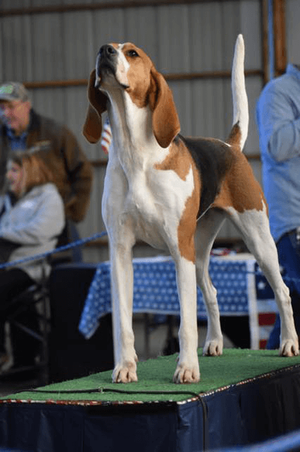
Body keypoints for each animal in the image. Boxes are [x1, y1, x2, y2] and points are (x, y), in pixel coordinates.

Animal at [82, 35, 298, 384]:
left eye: (133, 53)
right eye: (107, 47)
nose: (105, 51)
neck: (135, 154)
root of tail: (230, 147)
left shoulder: (178, 249)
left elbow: (185, 323)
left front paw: (186, 368)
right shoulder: (121, 253)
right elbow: (124, 324)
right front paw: (126, 366)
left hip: (258, 242)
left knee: (283, 291)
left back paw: (289, 343)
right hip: (198, 253)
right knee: (211, 291)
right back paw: (214, 343)